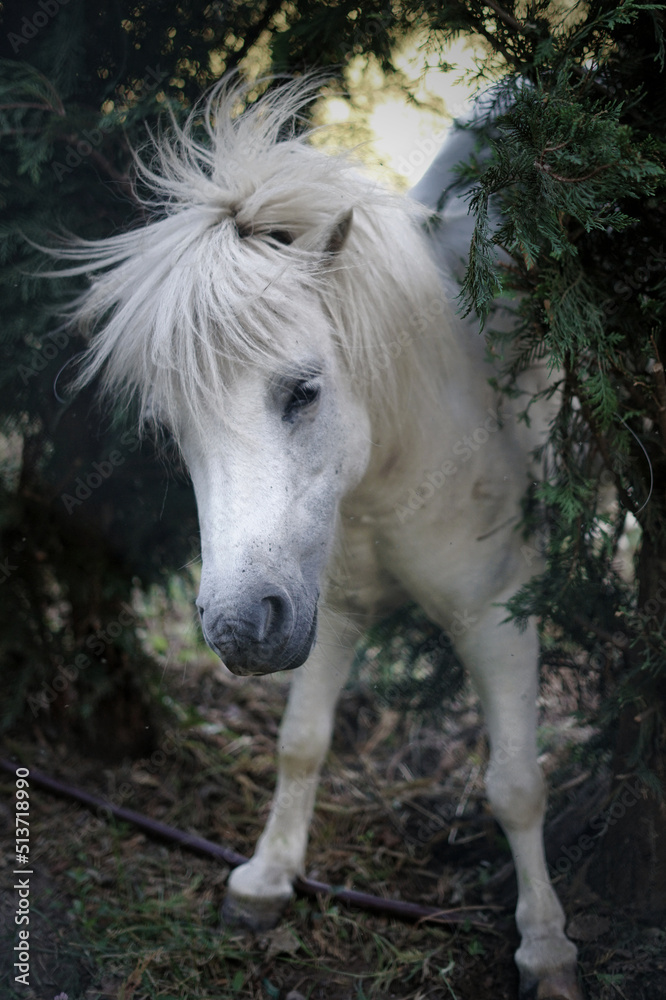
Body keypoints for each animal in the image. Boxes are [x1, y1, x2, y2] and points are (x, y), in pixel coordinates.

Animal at [54, 77, 582, 1000]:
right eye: (173, 428)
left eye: (303, 391)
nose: (235, 627)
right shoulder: (323, 607)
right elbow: (301, 743)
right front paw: (266, 880)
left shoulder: (498, 612)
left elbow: (517, 783)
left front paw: (545, 949)